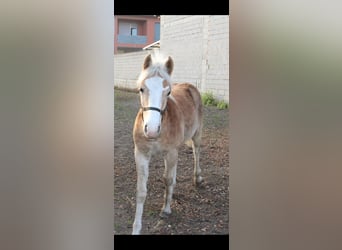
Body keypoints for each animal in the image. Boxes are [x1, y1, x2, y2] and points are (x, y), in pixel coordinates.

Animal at [132, 52, 203, 234]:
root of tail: (190, 86)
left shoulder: (170, 153)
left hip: (196, 134)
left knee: (196, 153)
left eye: (168, 91)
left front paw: (166, 209)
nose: (151, 130)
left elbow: (167, 179)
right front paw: (136, 227)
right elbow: (141, 190)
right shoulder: (141, 154)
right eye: (141, 89)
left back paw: (197, 178)